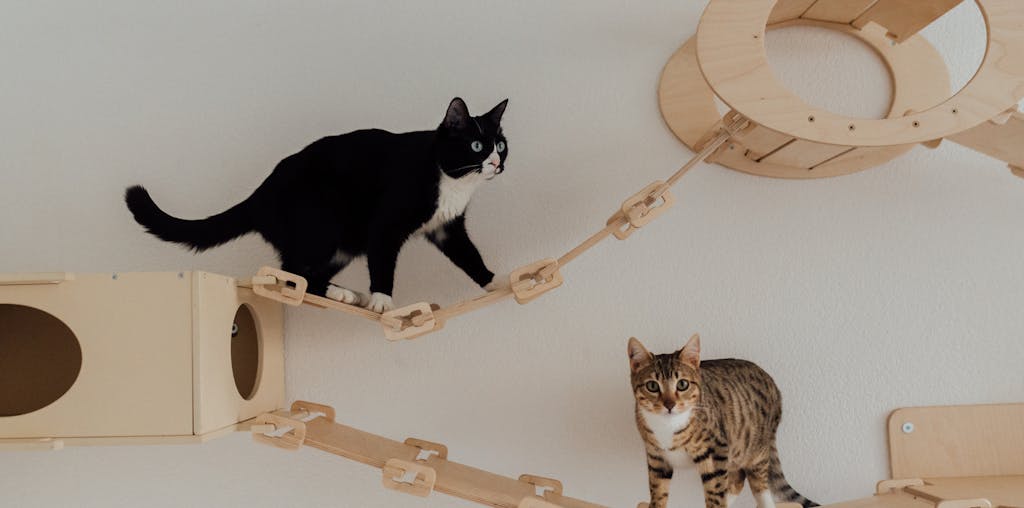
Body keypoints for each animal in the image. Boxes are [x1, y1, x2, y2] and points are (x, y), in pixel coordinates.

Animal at [125, 94, 509, 309]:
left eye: (501, 145)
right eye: (477, 145)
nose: (496, 163)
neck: (450, 180)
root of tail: (259, 194)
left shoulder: (448, 227)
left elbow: (469, 255)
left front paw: (496, 282)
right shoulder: (385, 223)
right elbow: (383, 261)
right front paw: (382, 301)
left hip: (341, 243)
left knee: (304, 272)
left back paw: (343, 293)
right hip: (322, 222)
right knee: (292, 272)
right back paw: (345, 295)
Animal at [622, 333, 815, 508]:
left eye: (682, 384)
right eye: (652, 386)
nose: (670, 405)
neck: (667, 427)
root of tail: (774, 385)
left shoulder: (716, 449)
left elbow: (715, 492)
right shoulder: (656, 457)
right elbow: (658, 491)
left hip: (755, 447)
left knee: (758, 482)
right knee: (738, 479)